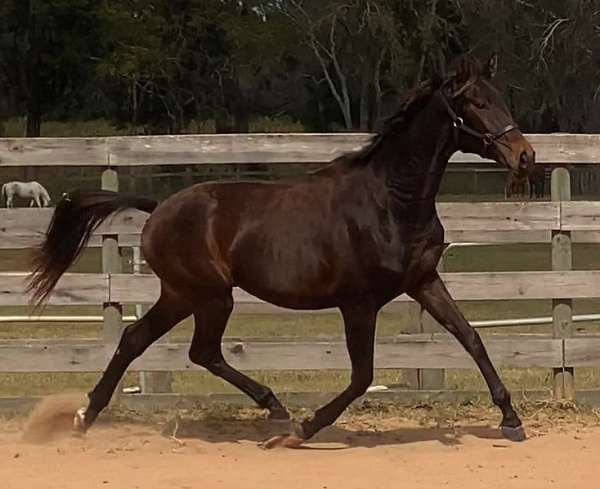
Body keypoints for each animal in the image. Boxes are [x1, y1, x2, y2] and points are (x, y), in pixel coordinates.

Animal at [27, 53, 536, 446]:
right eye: (477, 103)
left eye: (502, 98)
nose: (525, 155)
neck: (391, 200)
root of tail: (159, 207)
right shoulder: (359, 302)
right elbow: (363, 375)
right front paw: (304, 429)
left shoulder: (424, 280)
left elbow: (471, 338)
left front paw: (511, 421)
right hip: (211, 296)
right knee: (202, 352)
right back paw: (276, 411)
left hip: (181, 295)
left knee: (138, 341)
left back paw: (84, 418)